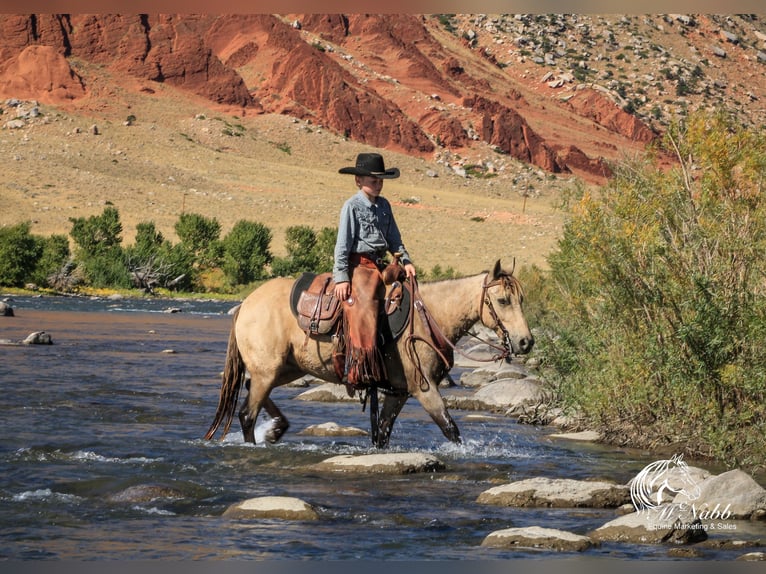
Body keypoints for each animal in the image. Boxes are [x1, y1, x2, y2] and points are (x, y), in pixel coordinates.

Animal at [207, 260, 536, 450]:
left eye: (522, 299)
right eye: (503, 300)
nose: (525, 342)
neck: (429, 317)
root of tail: (246, 303)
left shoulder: (398, 392)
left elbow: (382, 435)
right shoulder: (424, 388)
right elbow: (450, 429)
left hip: (287, 368)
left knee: (251, 389)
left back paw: (277, 429)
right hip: (269, 369)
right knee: (247, 413)